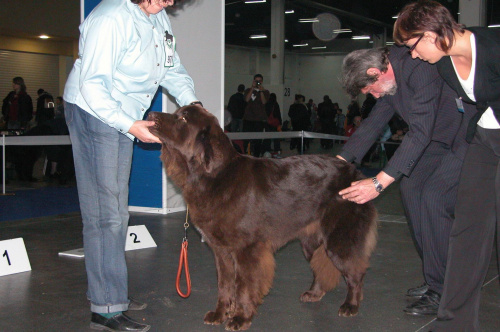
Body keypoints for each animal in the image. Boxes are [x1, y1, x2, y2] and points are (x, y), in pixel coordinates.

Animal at [148, 105, 378, 330]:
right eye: (177, 114)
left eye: (183, 119)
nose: (150, 114)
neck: (213, 176)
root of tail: (357, 174)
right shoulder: (221, 251)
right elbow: (224, 284)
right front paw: (220, 313)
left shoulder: (247, 249)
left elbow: (243, 286)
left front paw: (240, 318)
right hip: (311, 240)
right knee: (320, 266)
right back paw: (313, 294)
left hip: (340, 239)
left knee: (356, 272)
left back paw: (351, 305)